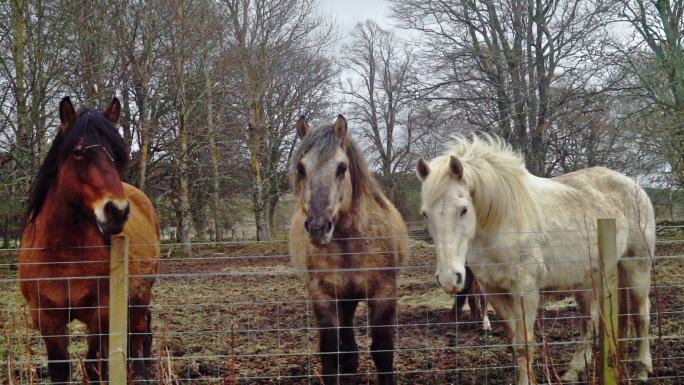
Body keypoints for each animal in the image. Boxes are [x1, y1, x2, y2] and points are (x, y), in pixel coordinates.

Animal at [18, 97, 160, 380]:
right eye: (78, 152)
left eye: (117, 154)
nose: (117, 210)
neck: (63, 255)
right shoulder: (47, 318)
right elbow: (60, 369)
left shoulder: (101, 315)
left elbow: (95, 367)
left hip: (140, 296)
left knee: (140, 332)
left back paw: (141, 373)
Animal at [288, 115, 408, 382]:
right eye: (301, 168)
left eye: (342, 167)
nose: (318, 227)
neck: (348, 244)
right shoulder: (323, 296)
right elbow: (329, 353)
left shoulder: (384, 294)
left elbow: (383, 351)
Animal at [414, 134, 656, 382]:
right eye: (426, 214)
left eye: (463, 209)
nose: (449, 279)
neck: (503, 223)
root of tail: (636, 187)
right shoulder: (495, 292)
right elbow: (514, 341)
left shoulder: (525, 292)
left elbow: (523, 344)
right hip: (588, 281)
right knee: (590, 323)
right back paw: (574, 372)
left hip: (637, 267)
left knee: (641, 315)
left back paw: (641, 370)